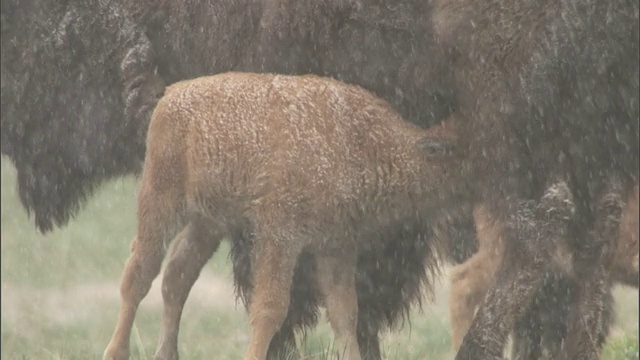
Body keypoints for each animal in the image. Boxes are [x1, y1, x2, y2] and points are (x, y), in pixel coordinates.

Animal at [105, 71, 464, 360]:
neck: (365, 140)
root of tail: (170, 96)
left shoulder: (336, 247)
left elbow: (344, 313)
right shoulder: (280, 239)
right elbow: (271, 307)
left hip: (208, 224)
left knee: (177, 276)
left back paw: (167, 353)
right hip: (161, 203)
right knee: (139, 274)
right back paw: (116, 351)